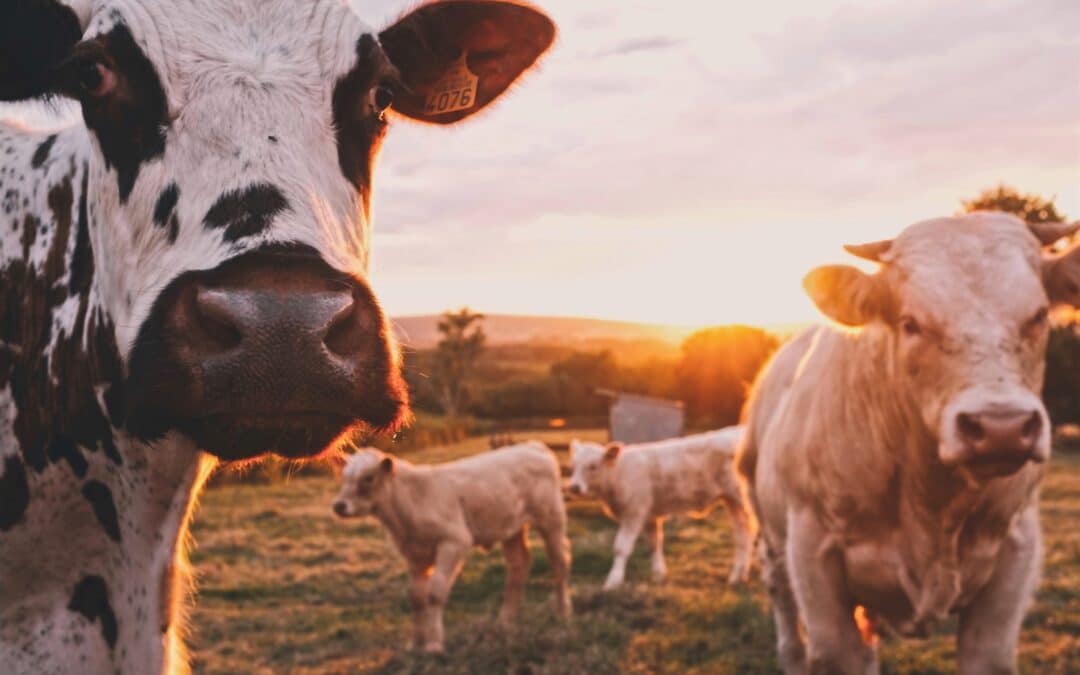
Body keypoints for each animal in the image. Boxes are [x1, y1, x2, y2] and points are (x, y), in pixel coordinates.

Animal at [332, 442, 574, 652]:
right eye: (344, 477)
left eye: (368, 478)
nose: (339, 506)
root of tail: (532, 446)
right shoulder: (414, 554)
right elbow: (416, 597)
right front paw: (415, 643)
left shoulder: (454, 541)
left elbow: (435, 593)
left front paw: (434, 644)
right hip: (511, 527)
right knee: (518, 564)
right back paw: (505, 620)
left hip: (551, 518)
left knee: (559, 560)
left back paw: (563, 611)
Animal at [570, 425, 756, 587]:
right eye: (573, 466)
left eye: (593, 466)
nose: (574, 487)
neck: (618, 473)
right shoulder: (649, 515)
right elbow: (654, 544)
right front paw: (658, 575)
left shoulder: (634, 512)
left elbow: (621, 547)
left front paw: (613, 581)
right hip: (731, 501)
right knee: (743, 534)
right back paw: (738, 576)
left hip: (743, 497)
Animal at [738, 211, 1080, 673]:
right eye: (910, 323)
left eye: (1039, 314)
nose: (1001, 428)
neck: (933, 502)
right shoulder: (812, 556)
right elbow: (836, 651)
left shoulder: (1016, 552)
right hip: (771, 539)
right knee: (785, 611)